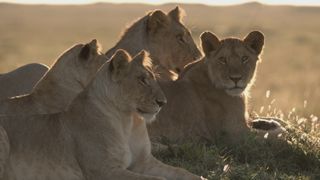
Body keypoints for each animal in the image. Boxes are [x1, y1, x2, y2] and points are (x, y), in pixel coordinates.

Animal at [0, 49, 202, 180]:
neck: (127, 121)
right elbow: (156, 179)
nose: (163, 102)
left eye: (152, 78)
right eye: (141, 80)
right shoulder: (104, 171)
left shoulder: (144, 162)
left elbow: (181, 171)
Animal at [149, 30, 284, 143]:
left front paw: (274, 122)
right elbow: (273, 135)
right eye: (222, 59)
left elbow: (263, 120)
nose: (235, 78)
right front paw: (280, 129)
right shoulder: (235, 133)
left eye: (244, 58)